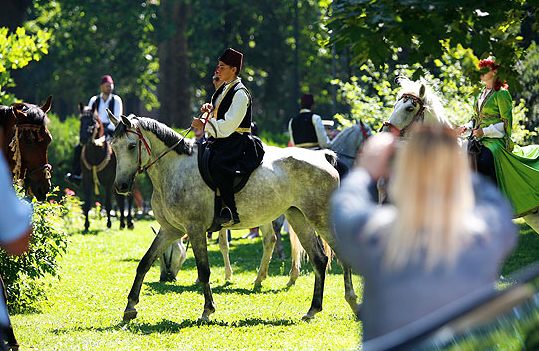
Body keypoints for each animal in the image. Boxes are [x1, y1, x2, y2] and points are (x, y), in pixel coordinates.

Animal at [77, 103, 133, 232]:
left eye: (93, 121)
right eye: (81, 120)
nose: (83, 139)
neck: (95, 154)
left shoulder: (109, 181)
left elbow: (108, 203)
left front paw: (108, 224)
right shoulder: (87, 179)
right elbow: (87, 203)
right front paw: (86, 225)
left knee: (128, 199)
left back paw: (128, 222)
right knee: (120, 199)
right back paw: (122, 223)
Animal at [107, 112, 360, 322]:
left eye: (132, 146)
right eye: (114, 147)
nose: (121, 186)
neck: (174, 168)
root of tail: (322, 157)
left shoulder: (195, 229)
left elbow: (204, 270)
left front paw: (207, 311)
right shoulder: (170, 230)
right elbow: (144, 263)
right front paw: (130, 307)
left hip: (321, 218)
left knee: (339, 255)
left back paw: (353, 303)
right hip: (298, 217)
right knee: (319, 259)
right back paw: (313, 309)